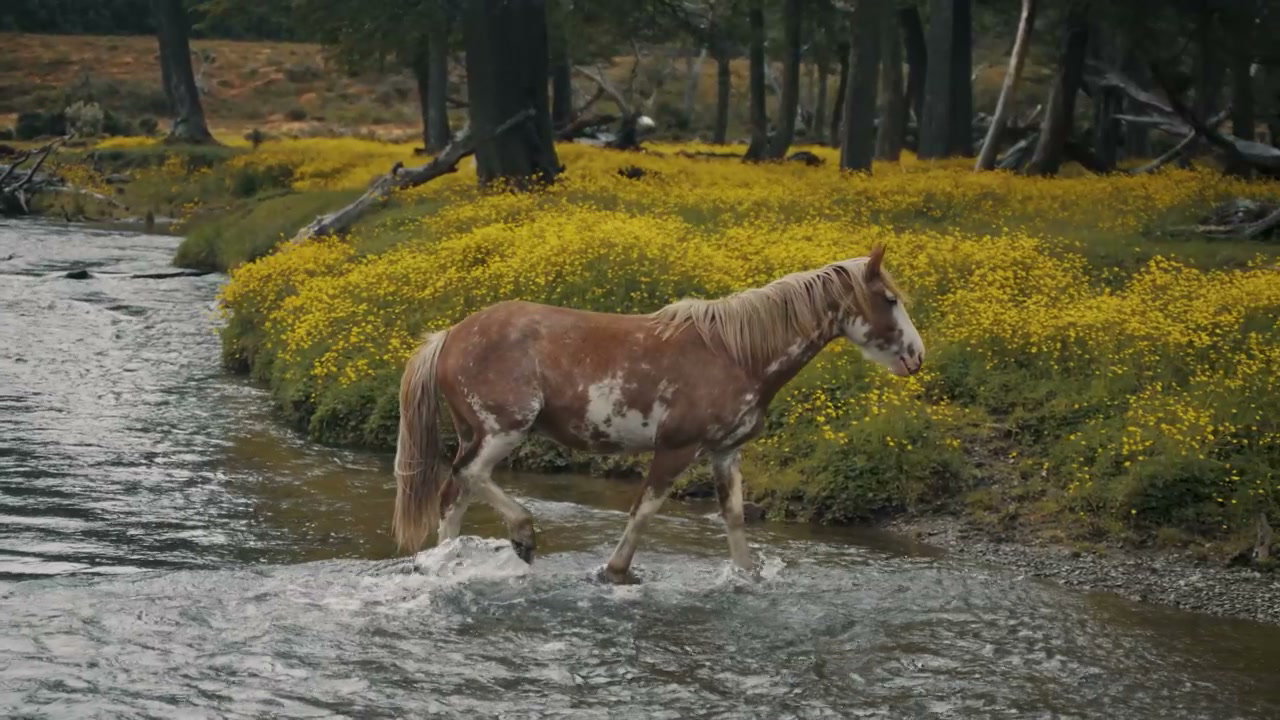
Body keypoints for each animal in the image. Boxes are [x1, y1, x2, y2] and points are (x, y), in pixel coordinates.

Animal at [392, 245, 924, 583]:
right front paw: (614, 572)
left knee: (454, 495)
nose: (917, 355)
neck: (736, 354)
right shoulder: (676, 448)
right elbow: (644, 510)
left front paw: (747, 577)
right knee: (469, 477)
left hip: (477, 433)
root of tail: (450, 336)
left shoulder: (725, 453)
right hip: (502, 431)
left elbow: (733, 519)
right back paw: (521, 533)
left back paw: (444, 562)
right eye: (890, 300)